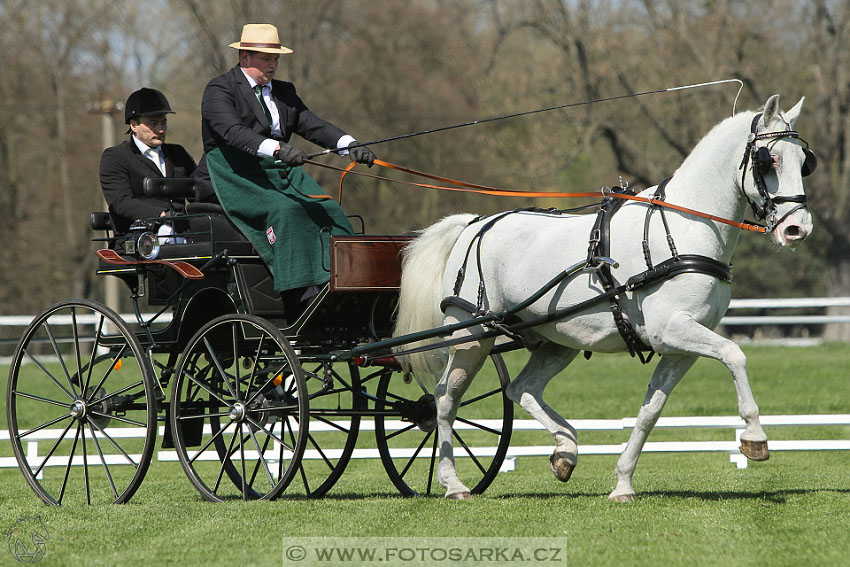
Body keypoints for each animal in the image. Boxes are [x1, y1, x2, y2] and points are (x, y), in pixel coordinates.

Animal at [394, 95, 812, 504]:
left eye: (804, 161)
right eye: (769, 159)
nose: (798, 228)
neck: (683, 230)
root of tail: (475, 223)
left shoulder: (680, 347)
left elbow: (650, 411)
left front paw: (623, 483)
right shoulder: (671, 330)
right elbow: (734, 355)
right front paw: (754, 437)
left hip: (556, 341)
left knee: (521, 389)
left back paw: (565, 451)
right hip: (472, 337)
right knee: (445, 400)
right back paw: (453, 483)